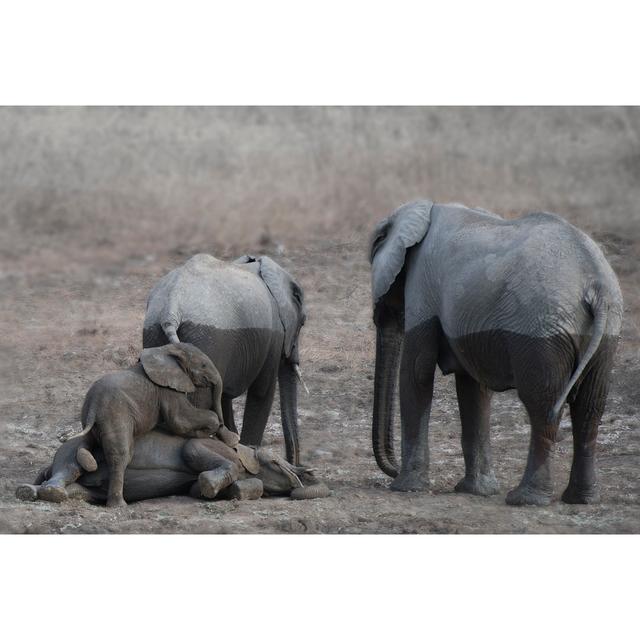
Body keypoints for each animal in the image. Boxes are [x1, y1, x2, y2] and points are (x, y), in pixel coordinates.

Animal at [46, 342, 239, 508]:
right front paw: (210, 431)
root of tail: (93, 404)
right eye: (204, 365)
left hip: (91, 418)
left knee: (86, 443)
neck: (165, 349)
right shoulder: (166, 389)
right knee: (121, 455)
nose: (233, 441)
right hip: (115, 414)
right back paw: (118, 505)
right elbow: (180, 421)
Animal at [143, 254, 308, 464]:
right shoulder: (274, 336)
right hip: (207, 339)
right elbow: (262, 392)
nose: (296, 465)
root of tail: (171, 309)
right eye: (302, 322)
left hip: (156, 334)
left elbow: (223, 397)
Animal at [370, 200, 624, 504]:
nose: (392, 469)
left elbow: (417, 372)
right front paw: (476, 491)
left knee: (544, 405)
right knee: (590, 408)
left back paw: (524, 499)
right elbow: (473, 388)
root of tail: (597, 286)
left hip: (540, 331)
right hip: (606, 333)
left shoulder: (422, 283)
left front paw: (406, 487)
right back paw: (580, 499)